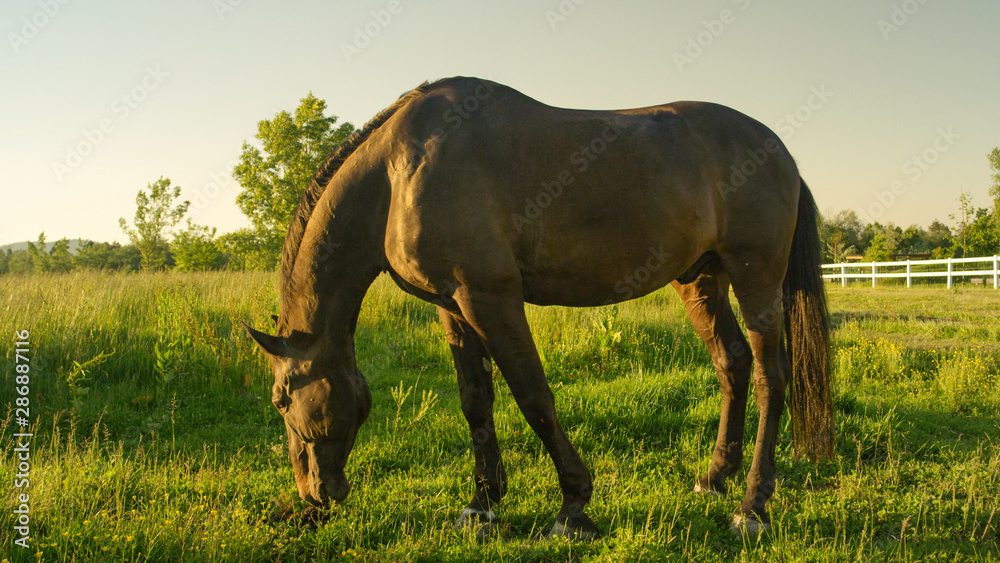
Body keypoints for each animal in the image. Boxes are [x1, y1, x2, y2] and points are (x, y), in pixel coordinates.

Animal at [246, 77, 832, 540]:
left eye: (280, 399)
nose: (313, 496)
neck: (397, 173)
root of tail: (779, 152)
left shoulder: (489, 297)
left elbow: (533, 396)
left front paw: (573, 508)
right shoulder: (451, 306)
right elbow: (475, 400)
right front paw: (481, 506)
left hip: (756, 276)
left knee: (770, 376)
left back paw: (752, 507)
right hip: (701, 279)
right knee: (732, 363)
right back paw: (713, 479)